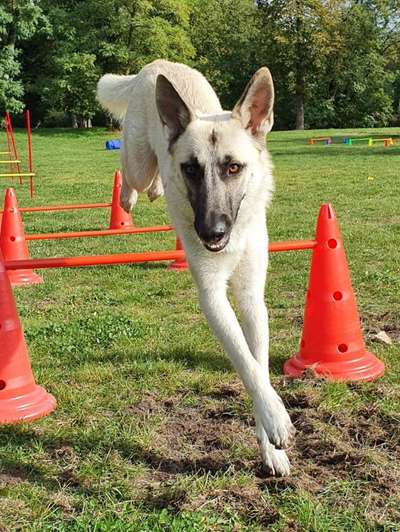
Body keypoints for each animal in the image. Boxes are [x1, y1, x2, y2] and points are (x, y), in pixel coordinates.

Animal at [97, 60, 294, 476]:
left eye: (234, 167)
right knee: (131, 170)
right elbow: (245, 363)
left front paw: (270, 445)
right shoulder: (213, 297)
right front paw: (276, 419)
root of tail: (156, 66)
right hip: (138, 159)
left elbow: (257, 364)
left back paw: (156, 189)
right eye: (191, 169)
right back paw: (132, 195)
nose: (211, 232)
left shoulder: (252, 299)